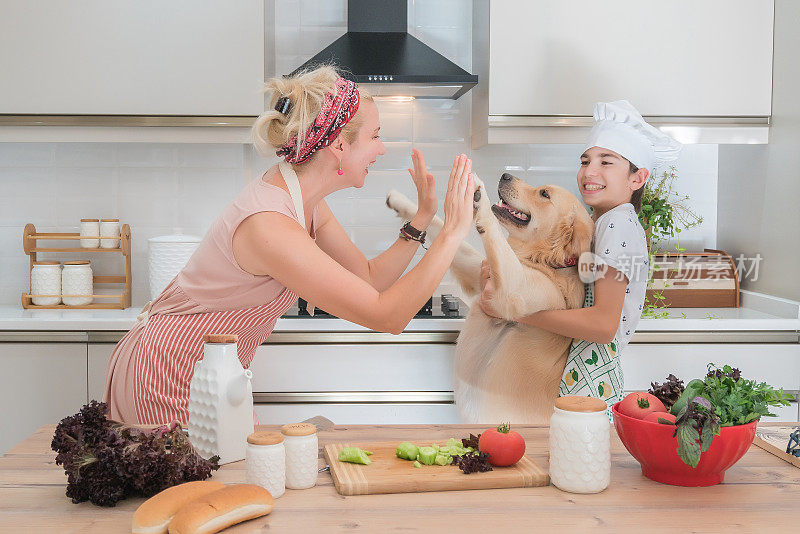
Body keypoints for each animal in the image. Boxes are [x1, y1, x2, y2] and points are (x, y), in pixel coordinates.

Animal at [388, 174, 592, 426]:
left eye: (544, 194)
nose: (505, 175)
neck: (543, 260)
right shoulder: (480, 272)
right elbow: (443, 228)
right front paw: (400, 201)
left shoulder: (515, 292)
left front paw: (479, 198)